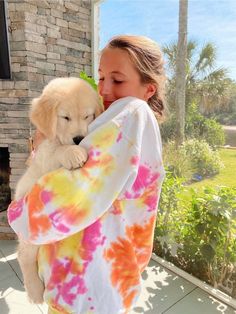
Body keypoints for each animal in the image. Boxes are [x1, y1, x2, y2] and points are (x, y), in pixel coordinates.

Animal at [14, 76, 101, 304]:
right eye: (65, 117)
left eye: (87, 116)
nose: (79, 139)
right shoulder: (45, 155)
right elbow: (54, 149)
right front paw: (72, 153)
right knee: (23, 256)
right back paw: (35, 291)